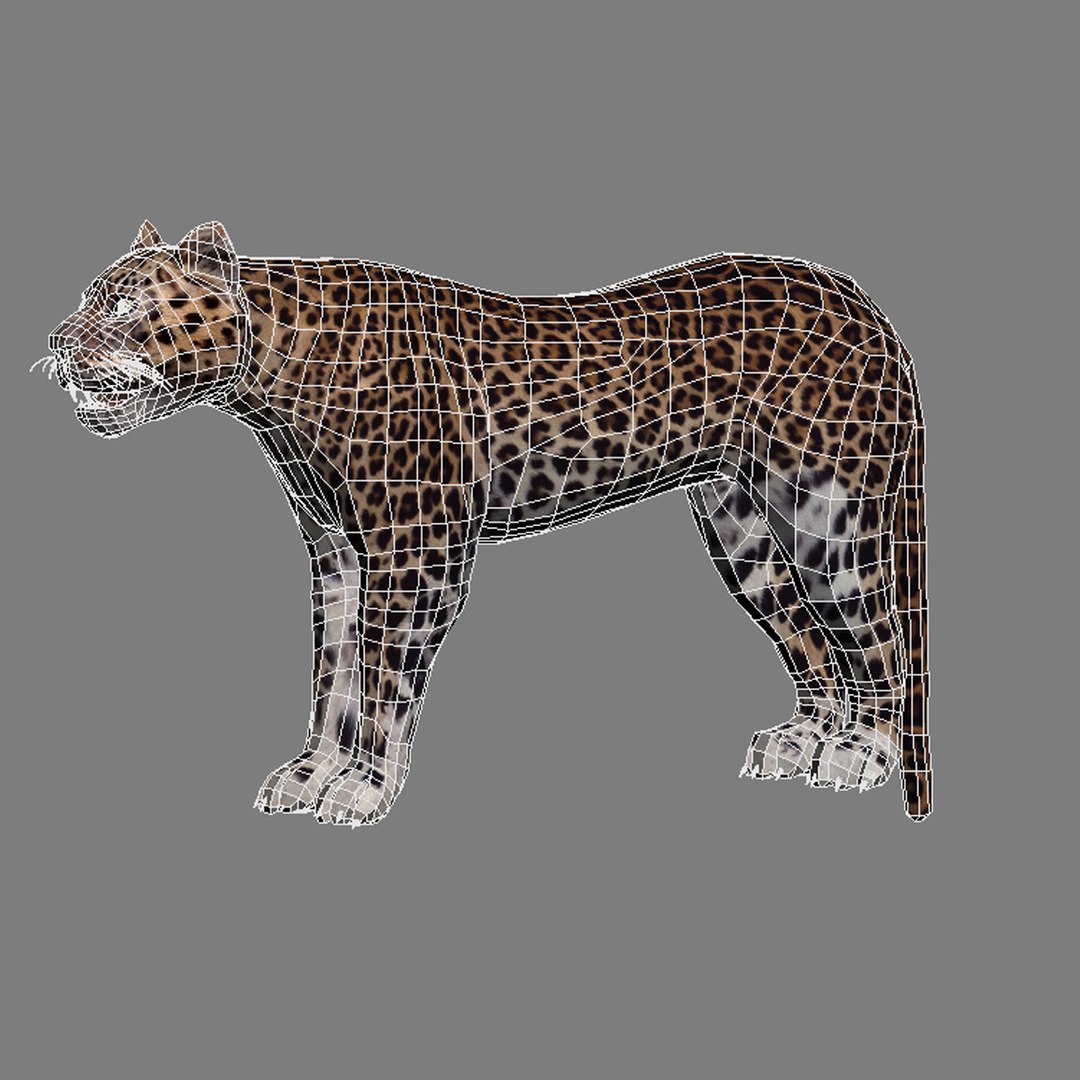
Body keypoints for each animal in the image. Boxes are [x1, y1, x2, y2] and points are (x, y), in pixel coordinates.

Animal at [43, 220, 931, 826]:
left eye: (124, 303)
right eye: (89, 296)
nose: (52, 341)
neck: (273, 375)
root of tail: (857, 297)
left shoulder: (416, 553)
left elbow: (379, 681)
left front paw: (360, 788)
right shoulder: (336, 555)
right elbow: (332, 673)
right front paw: (308, 773)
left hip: (825, 511)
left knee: (879, 635)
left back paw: (861, 754)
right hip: (741, 527)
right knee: (812, 639)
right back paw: (803, 742)